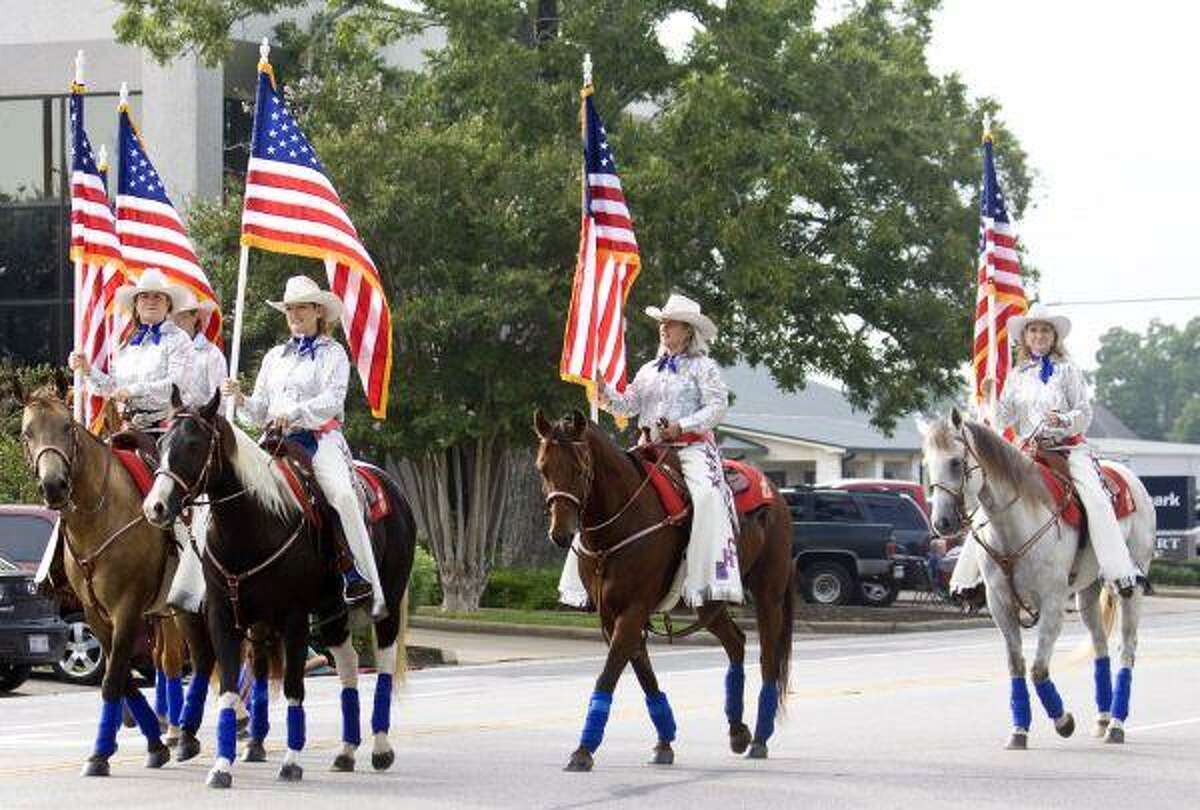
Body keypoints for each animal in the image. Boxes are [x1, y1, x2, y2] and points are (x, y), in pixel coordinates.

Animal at [19, 384, 212, 777]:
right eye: (26, 433)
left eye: (67, 427)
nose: (54, 486)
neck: (100, 516)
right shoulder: (95, 612)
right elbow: (120, 676)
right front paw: (154, 743)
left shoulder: (128, 607)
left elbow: (112, 681)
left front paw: (99, 754)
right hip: (180, 609)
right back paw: (185, 734)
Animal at [535, 412, 796, 772]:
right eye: (543, 468)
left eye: (579, 468)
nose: (561, 533)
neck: (619, 526)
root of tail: (774, 491)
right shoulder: (611, 615)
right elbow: (643, 673)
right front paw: (664, 741)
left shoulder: (633, 609)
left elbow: (608, 674)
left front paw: (583, 750)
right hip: (707, 601)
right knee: (736, 643)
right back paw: (737, 731)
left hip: (768, 593)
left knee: (768, 656)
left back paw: (759, 737)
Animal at [921, 415, 1156, 748]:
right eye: (927, 463)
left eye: (955, 462)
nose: (942, 523)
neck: (1014, 526)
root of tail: (1130, 478)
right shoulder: (1000, 604)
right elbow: (1016, 665)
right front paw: (1019, 730)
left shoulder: (1053, 604)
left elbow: (1038, 669)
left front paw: (1063, 721)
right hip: (1087, 593)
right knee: (1100, 645)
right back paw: (1102, 719)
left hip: (1131, 585)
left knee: (1127, 647)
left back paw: (1116, 725)